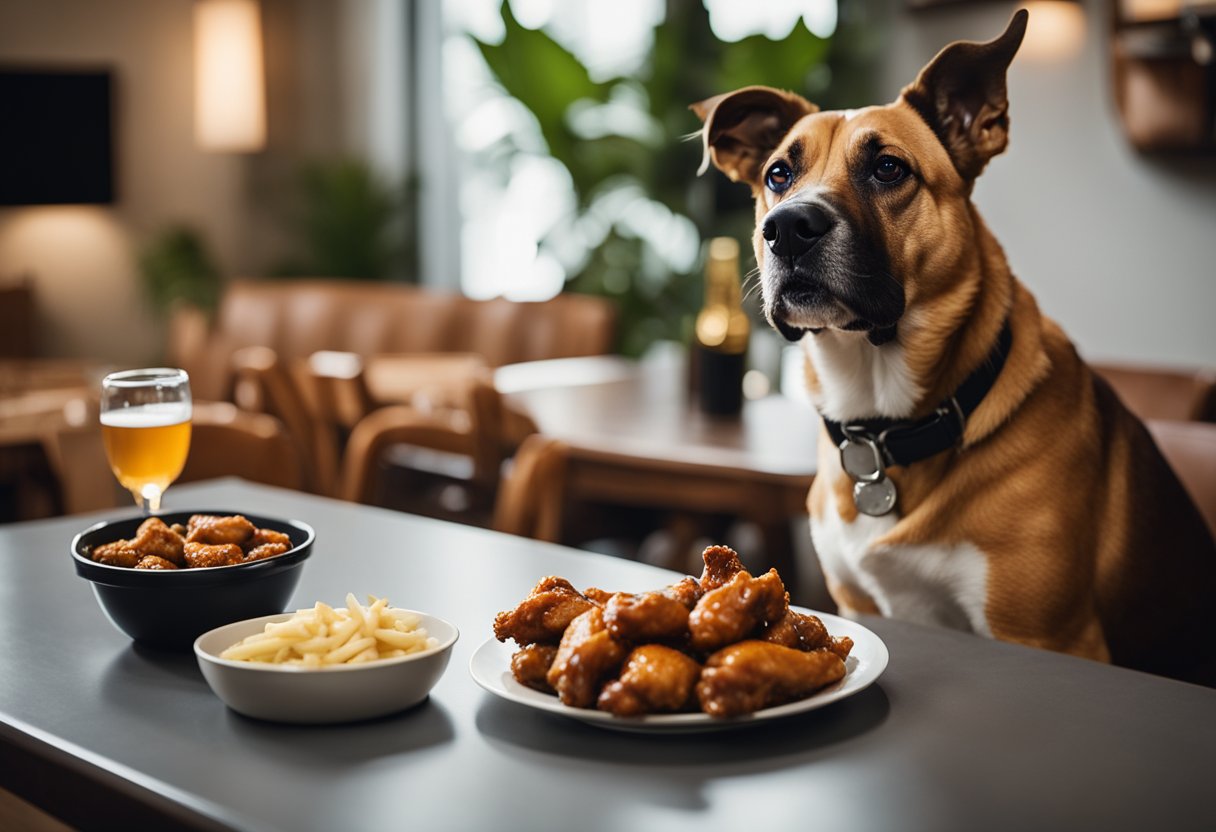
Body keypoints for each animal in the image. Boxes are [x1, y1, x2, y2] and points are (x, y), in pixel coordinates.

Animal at [695, 11, 1216, 690]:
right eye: (778, 175)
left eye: (889, 169)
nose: (787, 228)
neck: (885, 425)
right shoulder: (855, 602)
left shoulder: (1050, 635)